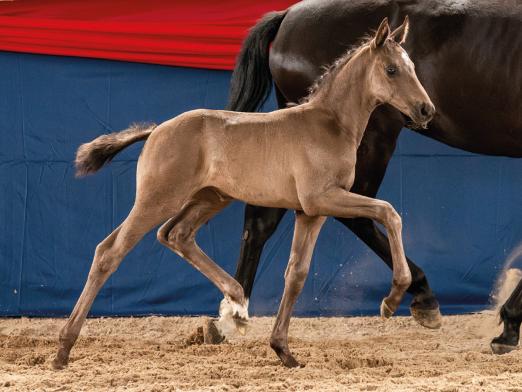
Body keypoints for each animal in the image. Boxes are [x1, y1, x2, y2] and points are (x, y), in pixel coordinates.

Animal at [53, 16, 434, 370]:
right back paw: (63, 350)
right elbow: (389, 212)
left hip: (209, 198)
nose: (426, 109)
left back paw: (237, 304)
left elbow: (296, 274)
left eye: (413, 68)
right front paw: (393, 298)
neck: (330, 123)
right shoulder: (324, 198)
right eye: (391, 69)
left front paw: (283, 350)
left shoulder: (309, 212)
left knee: (174, 235)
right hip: (158, 199)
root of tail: (156, 130)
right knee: (110, 252)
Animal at [209, 0, 516, 354]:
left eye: (412, 67)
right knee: (352, 216)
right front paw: (508, 327)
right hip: (372, 144)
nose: (427, 109)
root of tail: (287, 16)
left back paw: (229, 318)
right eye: (391, 70)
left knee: (265, 220)